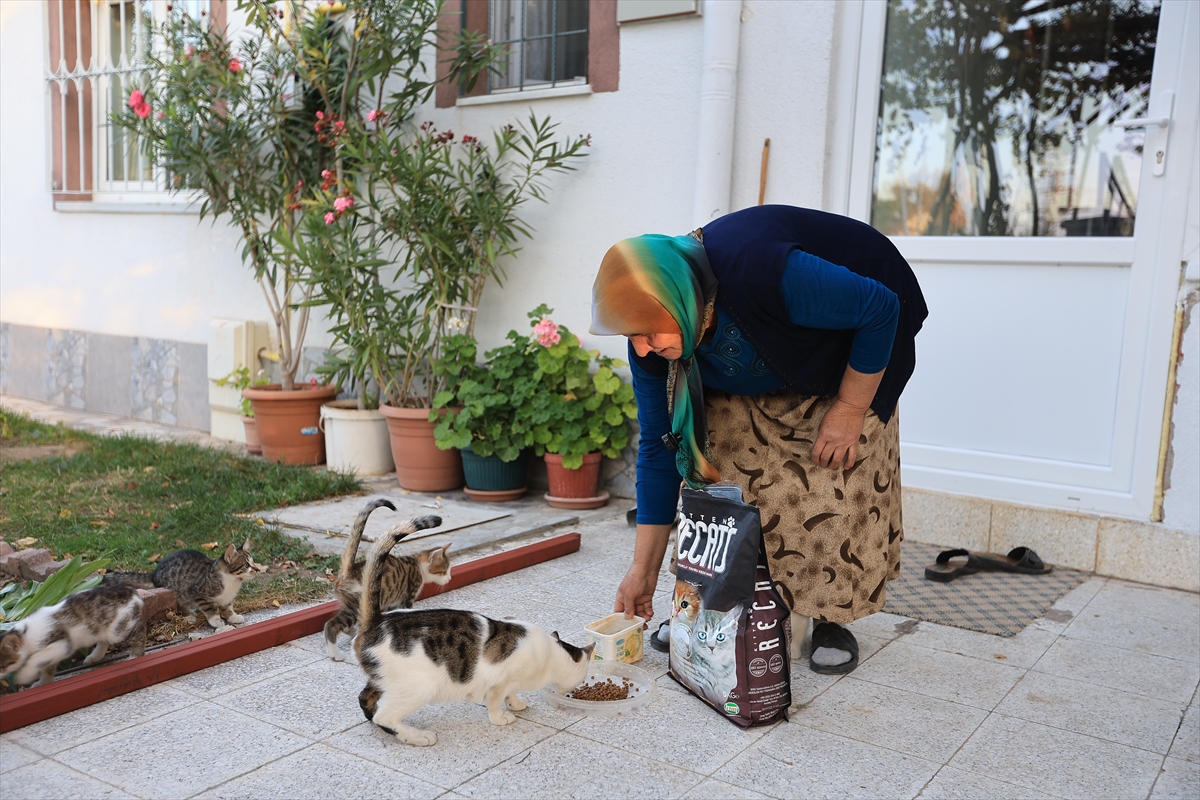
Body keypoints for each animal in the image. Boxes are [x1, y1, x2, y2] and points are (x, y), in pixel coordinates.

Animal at [0, 582, 146, 690]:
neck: (25, 633)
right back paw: (95, 656)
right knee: (104, 640)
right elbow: (47, 667)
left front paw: (24, 675)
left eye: (1, 666)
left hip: (119, 629)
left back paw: (135, 655)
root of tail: (132, 591)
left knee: (139, 632)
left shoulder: (62, 644)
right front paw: (43, 682)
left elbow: (35, 659)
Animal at [324, 501, 453, 662]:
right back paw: (335, 653)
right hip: (355, 606)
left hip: (349, 603)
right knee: (331, 625)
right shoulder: (408, 597)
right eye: (444, 571)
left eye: (448, 570)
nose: (449, 578)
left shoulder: (395, 601)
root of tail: (349, 570)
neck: (417, 563)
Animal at [350, 515, 595, 748]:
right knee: (385, 716)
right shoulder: (499, 681)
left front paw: (515, 704)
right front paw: (501, 718)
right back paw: (418, 737)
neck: (550, 653)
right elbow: (495, 701)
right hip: (419, 686)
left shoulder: (510, 681)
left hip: (384, 679)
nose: (572, 690)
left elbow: (511, 693)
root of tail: (376, 621)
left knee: (365, 698)